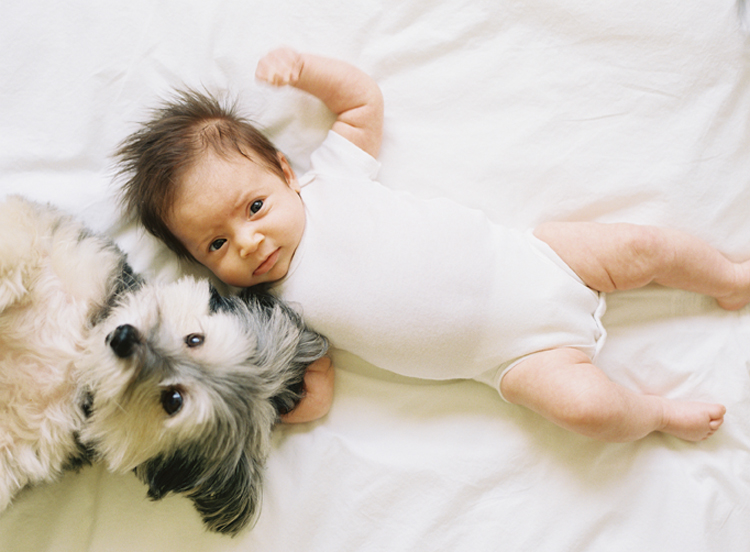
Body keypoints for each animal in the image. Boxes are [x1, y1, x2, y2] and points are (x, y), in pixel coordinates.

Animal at [0, 195, 328, 536]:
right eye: (195, 339)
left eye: (173, 400)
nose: (123, 337)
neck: (80, 350)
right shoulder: (66, 248)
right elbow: (19, 238)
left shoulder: (27, 447)